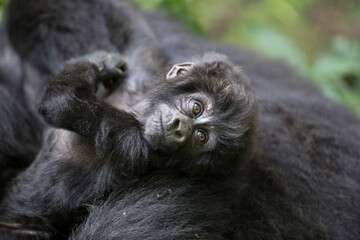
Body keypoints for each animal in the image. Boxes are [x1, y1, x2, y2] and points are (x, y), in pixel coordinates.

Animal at [0, 0, 360, 240]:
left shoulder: (133, 143)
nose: (179, 129)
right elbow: (134, 30)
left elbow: (62, 105)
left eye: (201, 139)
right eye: (197, 108)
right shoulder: (148, 66)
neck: (137, 106)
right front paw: (103, 61)